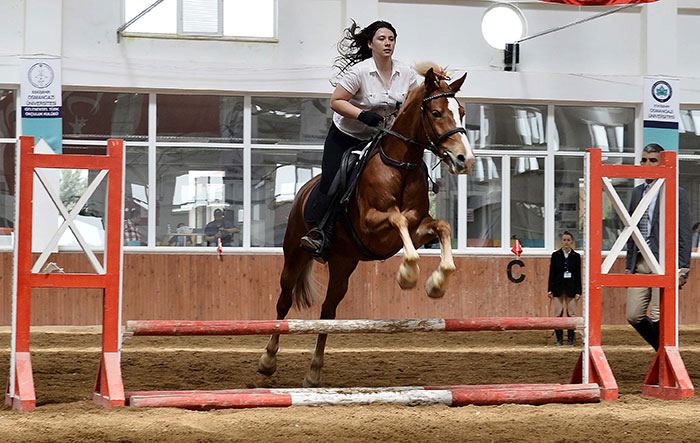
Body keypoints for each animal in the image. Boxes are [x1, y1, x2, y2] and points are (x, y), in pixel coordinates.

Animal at [258, 64, 476, 386]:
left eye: (460, 111)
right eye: (436, 113)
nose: (465, 159)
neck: (400, 166)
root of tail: (303, 191)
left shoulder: (417, 227)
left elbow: (442, 226)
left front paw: (436, 283)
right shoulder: (371, 224)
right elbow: (397, 218)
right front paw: (407, 275)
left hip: (343, 264)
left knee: (328, 311)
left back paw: (314, 371)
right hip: (295, 254)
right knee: (283, 302)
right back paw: (268, 360)